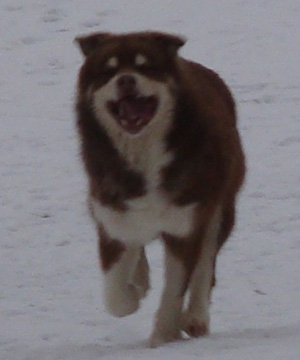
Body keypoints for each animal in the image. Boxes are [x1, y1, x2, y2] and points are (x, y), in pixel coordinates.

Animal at [74, 31, 245, 348]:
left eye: (146, 66)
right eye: (109, 70)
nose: (126, 80)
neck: (143, 155)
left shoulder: (185, 223)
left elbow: (175, 290)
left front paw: (164, 336)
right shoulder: (113, 216)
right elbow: (115, 294)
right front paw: (133, 293)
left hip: (220, 206)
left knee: (206, 263)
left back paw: (196, 317)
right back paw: (140, 278)